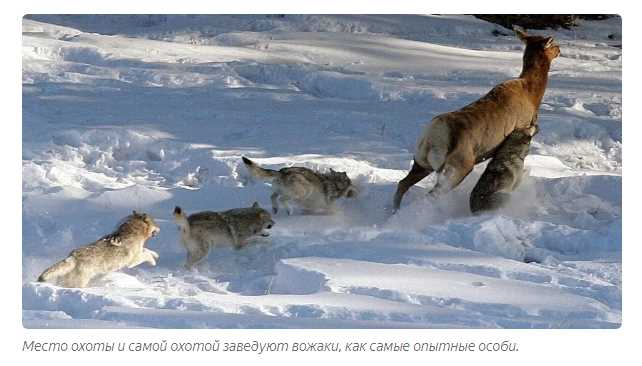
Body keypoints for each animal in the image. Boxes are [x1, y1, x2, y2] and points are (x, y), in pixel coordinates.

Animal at [388, 27, 556, 212]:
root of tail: (433, 138)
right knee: (431, 195)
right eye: (554, 44)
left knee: (403, 183)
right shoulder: (520, 128)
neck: (533, 95)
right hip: (458, 168)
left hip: (421, 161)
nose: (559, 49)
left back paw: (391, 211)